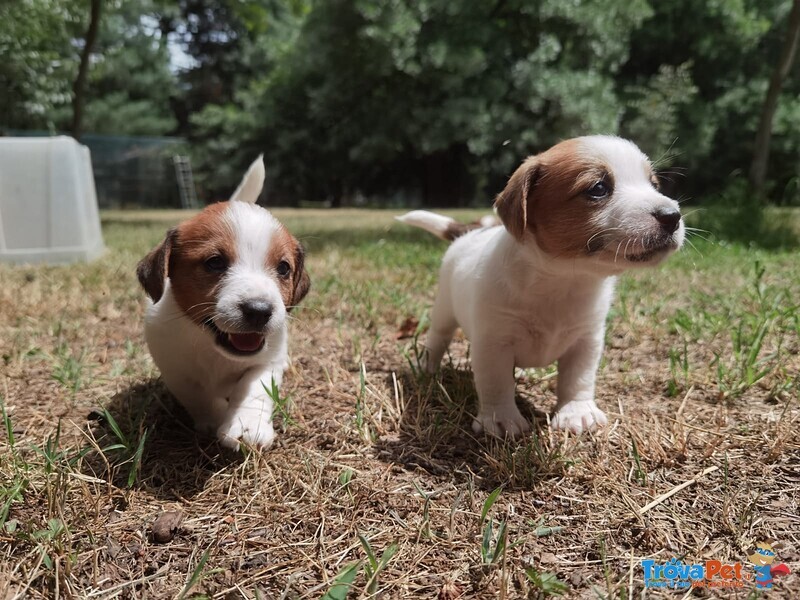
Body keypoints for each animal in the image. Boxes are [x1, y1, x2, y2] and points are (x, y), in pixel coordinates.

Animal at [138, 157, 310, 448]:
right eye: (215, 262)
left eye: (284, 268)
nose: (259, 311)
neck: (214, 349)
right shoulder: (174, 369)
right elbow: (198, 396)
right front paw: (216, 420)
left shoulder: (268, 361)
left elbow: (253, 388)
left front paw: (246, 424)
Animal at [396, 135, 684, 436]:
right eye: (598, 188)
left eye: (654, 184)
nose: (672, 216)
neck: (562, 278)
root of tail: (470, 232)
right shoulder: (492, 342)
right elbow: (496, 383)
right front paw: (500, 418)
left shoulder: (586, 340)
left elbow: (578, 378)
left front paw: (576, 411)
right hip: (444, 311)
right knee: (437, 339)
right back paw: (426, 368)